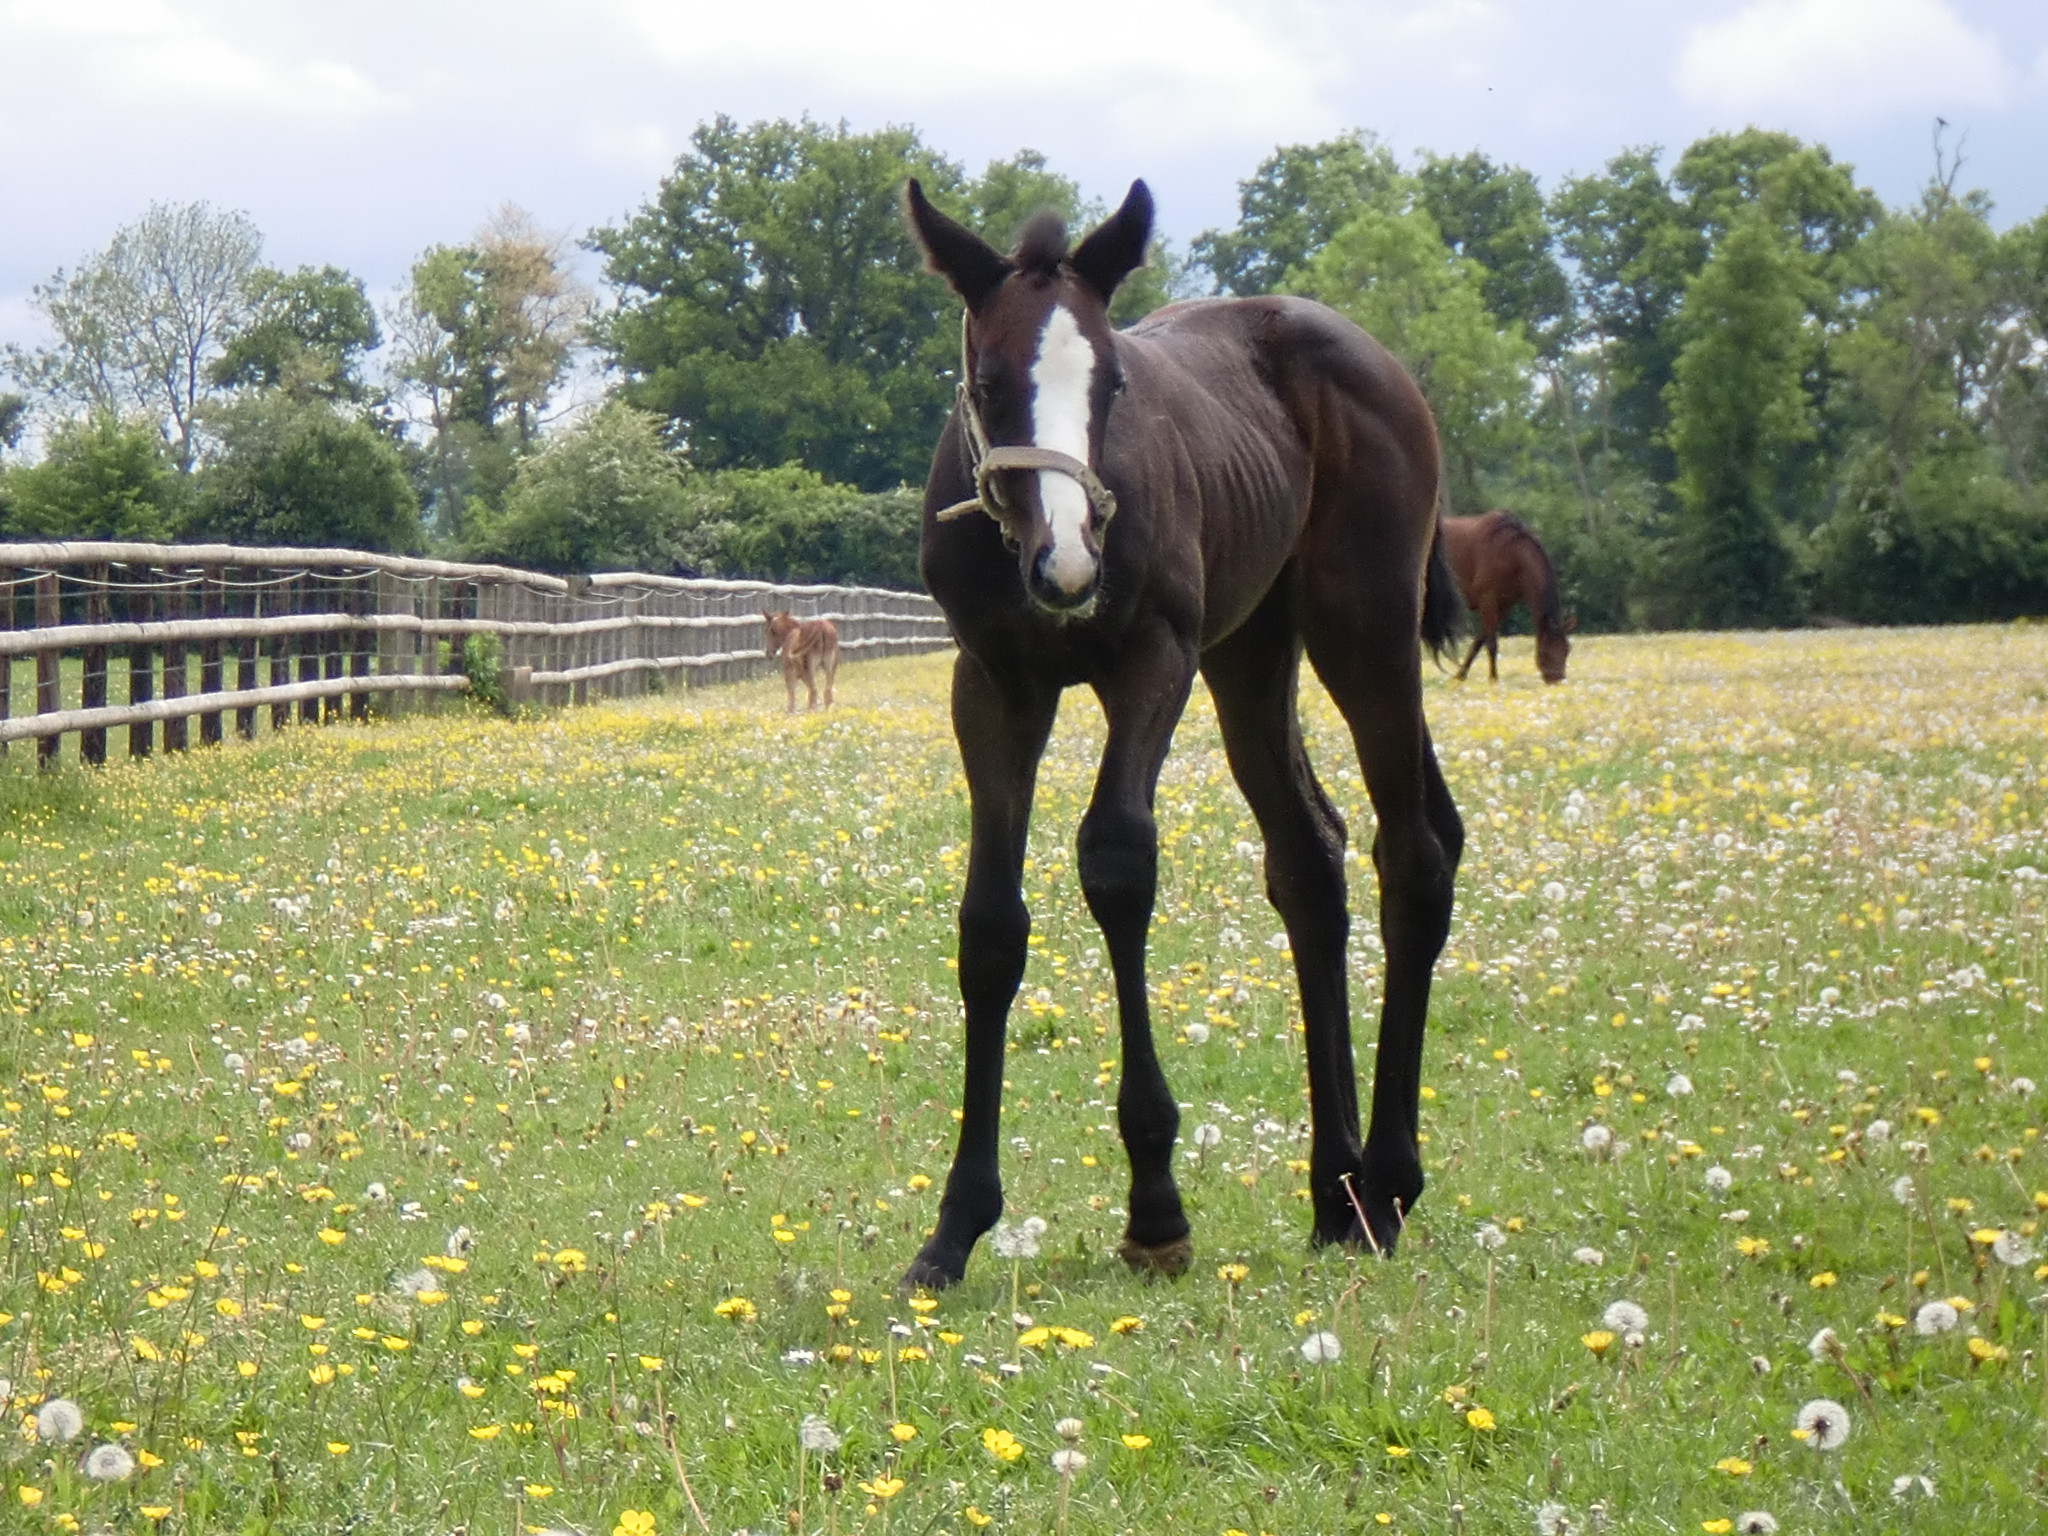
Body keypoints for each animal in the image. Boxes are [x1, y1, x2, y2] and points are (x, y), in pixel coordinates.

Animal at [905, 174, 1466, 1294]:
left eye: (1115, 382)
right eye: (987, 381)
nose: (1069, 565)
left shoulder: (1151, 659)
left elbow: (1117, 862)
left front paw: (1155, 1209)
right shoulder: (991, 685)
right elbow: (989, 924)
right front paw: (955, 1225)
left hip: (1363, 630)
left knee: (1414, 855)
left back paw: (1385, 1185)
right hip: (1251, 651)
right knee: (1310, 860)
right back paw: (1334, 1191)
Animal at [1433, 512, 1572, 684]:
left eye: (1567, 649)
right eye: (1546, 651)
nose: (1557, 681)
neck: (1511, 553)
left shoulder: (1504, 605)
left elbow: (1479, 641)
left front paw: (1461, 674)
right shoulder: (1488, 600)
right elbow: (1491, 644)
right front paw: (1493, 679)